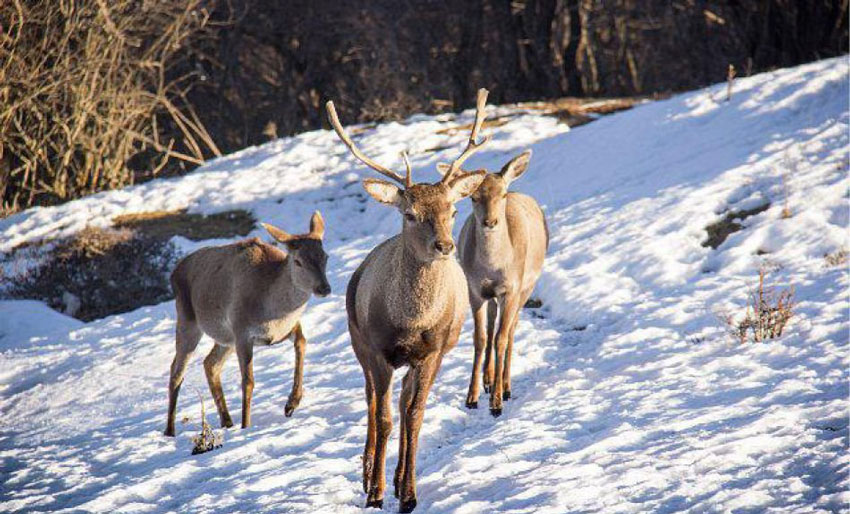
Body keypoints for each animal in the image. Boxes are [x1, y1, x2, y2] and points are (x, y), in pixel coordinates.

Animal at [164, 210, 330, 434]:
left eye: (325, 256)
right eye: (298, 261)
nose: (324, 288)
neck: (274, 314)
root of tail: (174, 271)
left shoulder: (286, 328)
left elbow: (302, 342)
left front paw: (291, 404)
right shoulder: (242, 331)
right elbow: (248, 382)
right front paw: (246, 425)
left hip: (225, 338)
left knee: (210, 363)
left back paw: (226, 421)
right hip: (187, 319)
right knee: (177, 371)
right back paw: (169, 431)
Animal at [328, 90, 490, 510]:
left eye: (453, 209)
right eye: (410, 214)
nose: (445, 246)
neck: (410, 322)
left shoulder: (434, 351)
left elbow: (414, 415)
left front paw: (409, 494)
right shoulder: (377, 349)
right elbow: (383, 417)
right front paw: (376, 493)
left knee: (402, 402)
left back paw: (399, 479)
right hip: (357, 339)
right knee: (372, 401)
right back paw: (369, 473)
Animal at [454, 136, 548, 416]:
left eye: (502, 194)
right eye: (473, 197)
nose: (490, 222)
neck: (491, 267)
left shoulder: (511, 288)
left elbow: (501, 338)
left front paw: (496, 403)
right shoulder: (474, 290)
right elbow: (480, 338)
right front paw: (472, 397)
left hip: (527, 285)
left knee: (511, 329)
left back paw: (504, 386)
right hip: (493, 295)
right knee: (492, 324)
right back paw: (488, 379)